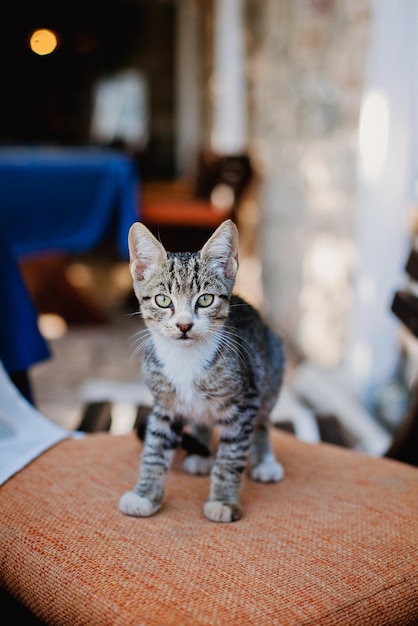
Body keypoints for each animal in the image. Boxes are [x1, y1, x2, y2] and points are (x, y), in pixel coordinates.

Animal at [119, 219, 286, 520]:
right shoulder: (164, 405)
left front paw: (224, 501)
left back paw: (265, 461)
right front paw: (145, 495)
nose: (184, 325)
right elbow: (154, 449)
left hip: (271, 366)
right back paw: (202, 452)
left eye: (205, 299)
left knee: (264, 419)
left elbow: (230, 459)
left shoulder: (245, 401)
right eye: (163, 300)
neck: (185, 359)